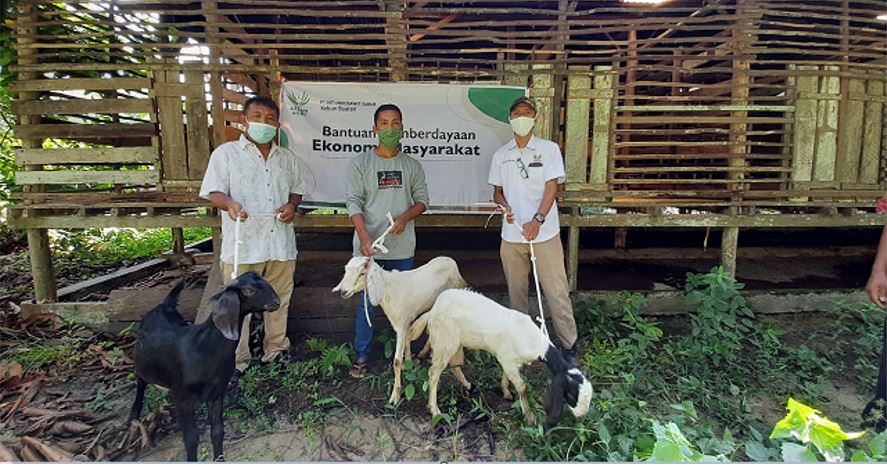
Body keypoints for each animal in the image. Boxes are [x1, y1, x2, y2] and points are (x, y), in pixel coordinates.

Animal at [128, 272, 280, 460]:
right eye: (248, 290)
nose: (276, 302)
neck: (205, 350)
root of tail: (163, 305)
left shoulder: (217, 393)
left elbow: (218, 431)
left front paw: (220, 459)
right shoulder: (183, 399)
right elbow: (191, 437)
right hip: (143, 366)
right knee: (140, 381)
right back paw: (133, 416)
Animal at [332, 255, 468, 404]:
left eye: (362, 273)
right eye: (346, 271)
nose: (343, 292)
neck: (388, 290)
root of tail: (449, 259)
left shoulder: (401, 326)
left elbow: (397, 361)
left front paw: (395, 397)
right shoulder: (405, 323)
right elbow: (407, 343)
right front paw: (408, 364)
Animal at [412, 288, 592, 430]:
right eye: (571, 395)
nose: (581, 416)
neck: (534, 342)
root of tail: (434, 307)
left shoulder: (510, 361)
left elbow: (507, 377)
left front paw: (506, 392)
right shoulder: (507, 359)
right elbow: (522, 388)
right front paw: (531, 418)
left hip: (456, 342)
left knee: (455, 365)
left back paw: (468, 386)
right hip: (445, 340)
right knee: (434, 373)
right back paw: (435, 409)